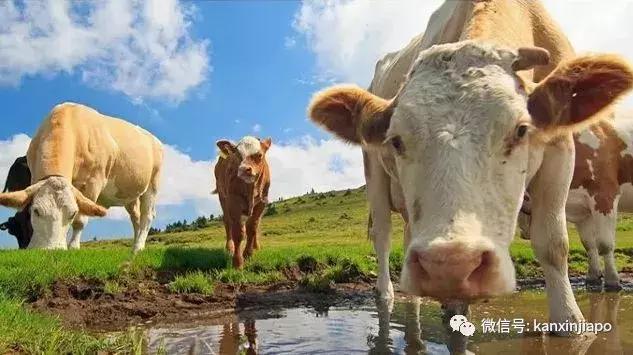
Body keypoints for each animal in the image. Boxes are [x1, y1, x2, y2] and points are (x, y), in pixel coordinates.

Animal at [0, 103, 164, 253]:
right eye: (35, 211)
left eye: (72, 213)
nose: (51, 249)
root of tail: (154, 139)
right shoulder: (34, 176)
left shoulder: (93, 182)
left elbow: (80, 220)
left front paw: (73, 247)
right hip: (130, 194)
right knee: (136, 218)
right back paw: (134, 246)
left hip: (152, 184)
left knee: (147, 216)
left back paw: (138, 247)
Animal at [214, 137, 270, 270]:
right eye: (237, 155)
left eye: (259, 155)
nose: (244, 169)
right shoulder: (233, 201)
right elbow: (238, 232)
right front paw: (237, 262)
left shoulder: (262, 202)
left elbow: (252, 227)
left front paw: (248, 254)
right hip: (222, 197)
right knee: (227, 222)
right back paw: (229, 248)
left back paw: (256, 246)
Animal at [516, 112, 632, 292]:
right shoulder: (580, 210)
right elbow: (589, 244)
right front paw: (593, 277)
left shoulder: (605, 196)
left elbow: (605, 244)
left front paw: (612, 281)